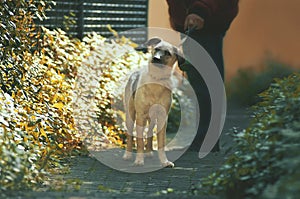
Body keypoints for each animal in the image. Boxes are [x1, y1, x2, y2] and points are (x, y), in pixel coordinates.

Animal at [121, 37, 183, 168]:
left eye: (167, 53)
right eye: (157, 49)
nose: (156, 58)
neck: (156, 79)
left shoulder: (162, 117)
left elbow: (161, 143)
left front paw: (164, 162)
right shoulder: (140, 116)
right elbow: (139, 141)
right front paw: (139, 161)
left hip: (152, 119)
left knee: (149, 132)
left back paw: (149, 152)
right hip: (130, 115)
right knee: (130, 135)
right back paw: (127, 155)